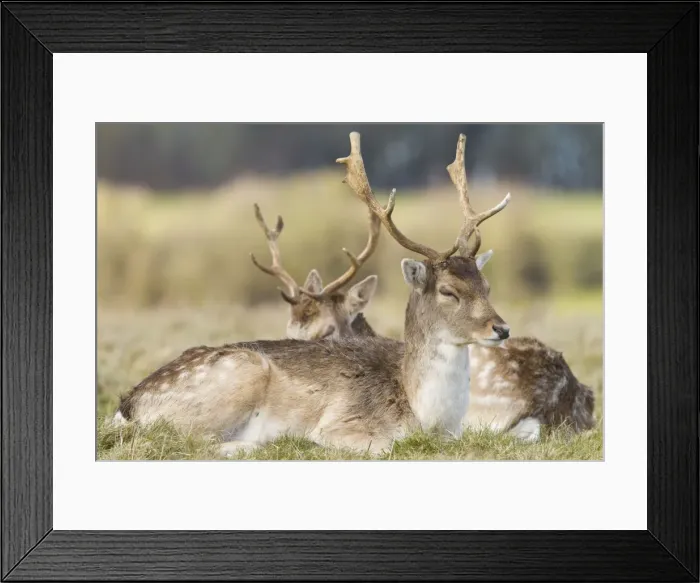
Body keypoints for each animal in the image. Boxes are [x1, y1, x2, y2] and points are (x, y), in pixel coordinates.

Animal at [113, 131, 517, 457]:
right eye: (448, 291)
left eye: (487, 286)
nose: (501, 328)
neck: (427, 415)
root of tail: (126, 405)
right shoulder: (345, 422)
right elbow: (383, 446)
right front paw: (309, 440)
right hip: (239, 374)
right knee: (188, 442)